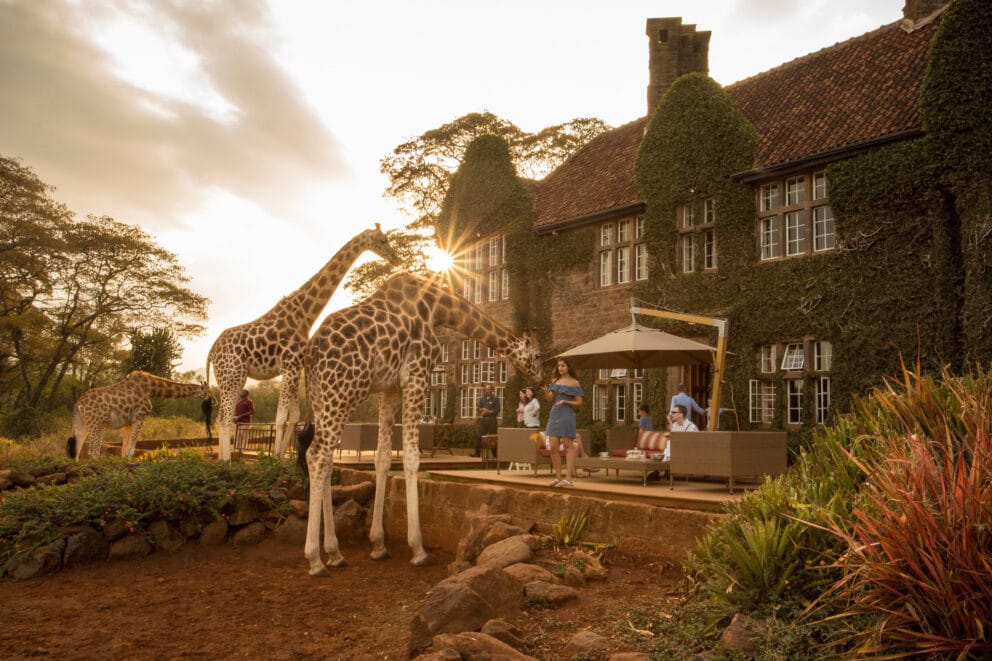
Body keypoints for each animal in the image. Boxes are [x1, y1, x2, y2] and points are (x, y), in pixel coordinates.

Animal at [67, 371, 210, 460]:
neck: (152, 388)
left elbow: (124, 450)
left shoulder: (128, 423)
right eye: (208, 391)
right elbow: (131, 449)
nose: (212, 399)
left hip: (81, 424)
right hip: (98, 424)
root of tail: (78, 405)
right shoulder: (140, 417)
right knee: (93, 451)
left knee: (77, 451)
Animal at [206, 225, 398, 461]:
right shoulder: (289, 366)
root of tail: (211, 351)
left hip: (235, 377)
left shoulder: (295, 367)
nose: (396, 258)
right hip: (231, 375)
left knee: (222, 416)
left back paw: (223, 459)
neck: (304, 315)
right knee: (224, 417)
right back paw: (227, 461)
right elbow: (280, 417)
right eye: (382, 240)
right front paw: (273, 459)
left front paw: (281, 458)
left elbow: (294, 415)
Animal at [301, 272, 544, 576]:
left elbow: (383, 458)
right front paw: (418, 549)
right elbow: (411, 458)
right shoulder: (417, 376)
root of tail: (311, 352)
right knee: (317, 454)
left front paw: (378, 545)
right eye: (537, 355)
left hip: (320, 396)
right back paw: (315, 559)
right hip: (344, 391)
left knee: (326, 457)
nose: (543, 379)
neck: (437, 309)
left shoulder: (391, 388)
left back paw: (335, 553)